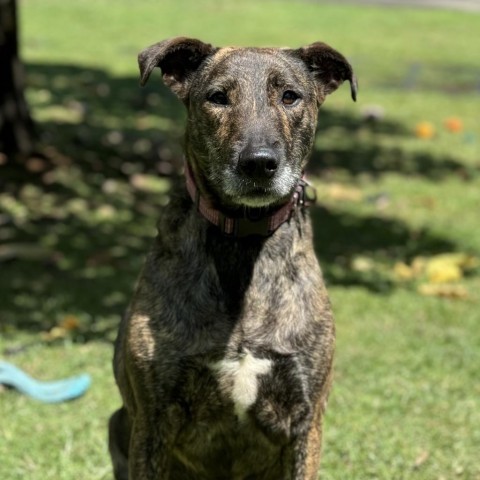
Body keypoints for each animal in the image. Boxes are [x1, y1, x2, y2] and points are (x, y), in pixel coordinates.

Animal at [109, 35, 356, 478]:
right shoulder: (151, 421)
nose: (258, 163)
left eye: (290, 96)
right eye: (218, 97)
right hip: (118, 422)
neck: (243, 241)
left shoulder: (306, 420)